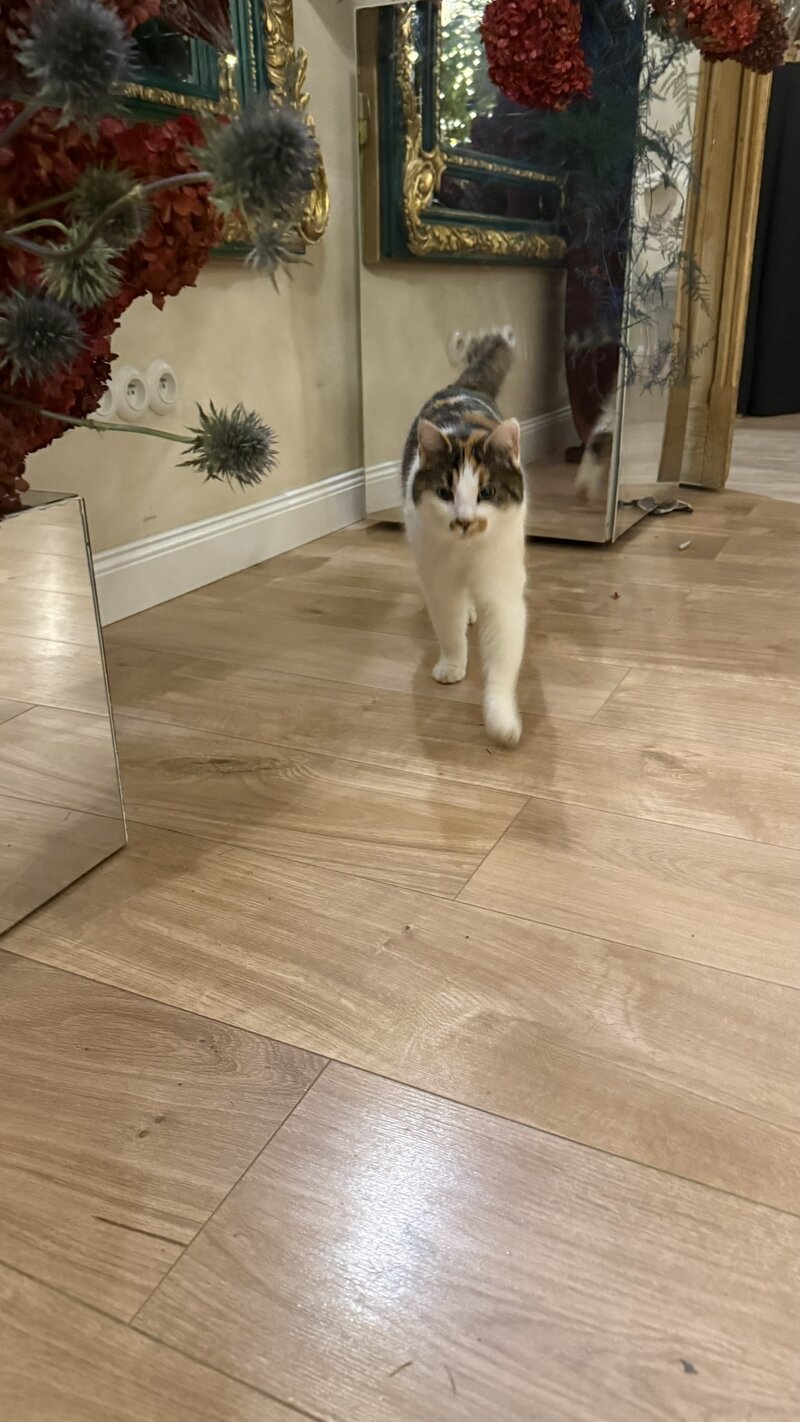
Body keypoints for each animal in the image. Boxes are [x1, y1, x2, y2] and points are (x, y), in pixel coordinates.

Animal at [402, 333, 527, 747]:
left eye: (486, 493)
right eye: (444, 493)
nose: (464, 521)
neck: (466, 553)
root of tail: (463, 387)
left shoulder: (502, 589)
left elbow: (502, 658)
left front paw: (501, 718)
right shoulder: (439, 580)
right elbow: (449, 627)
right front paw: (452, 664)